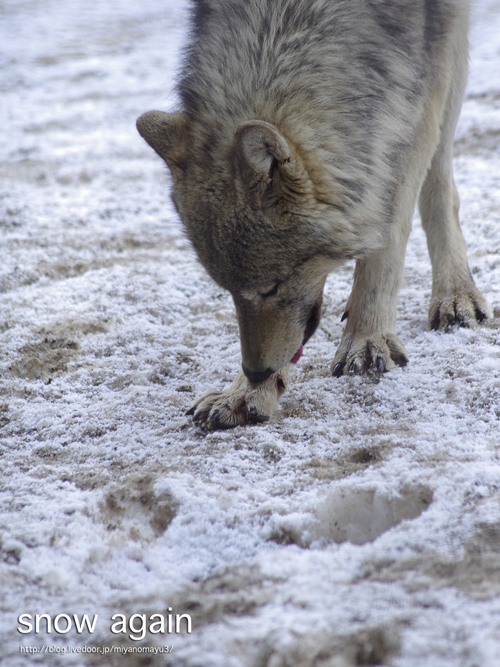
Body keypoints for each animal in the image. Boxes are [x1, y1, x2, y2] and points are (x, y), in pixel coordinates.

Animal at [136, 0, 488, 428]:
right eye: (231, 292)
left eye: (271, 288)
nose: (254, 371)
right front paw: (245, 393)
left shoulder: (415, 87)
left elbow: (388, 236)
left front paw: (366, 340)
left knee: (438, 180)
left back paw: (456, 296)